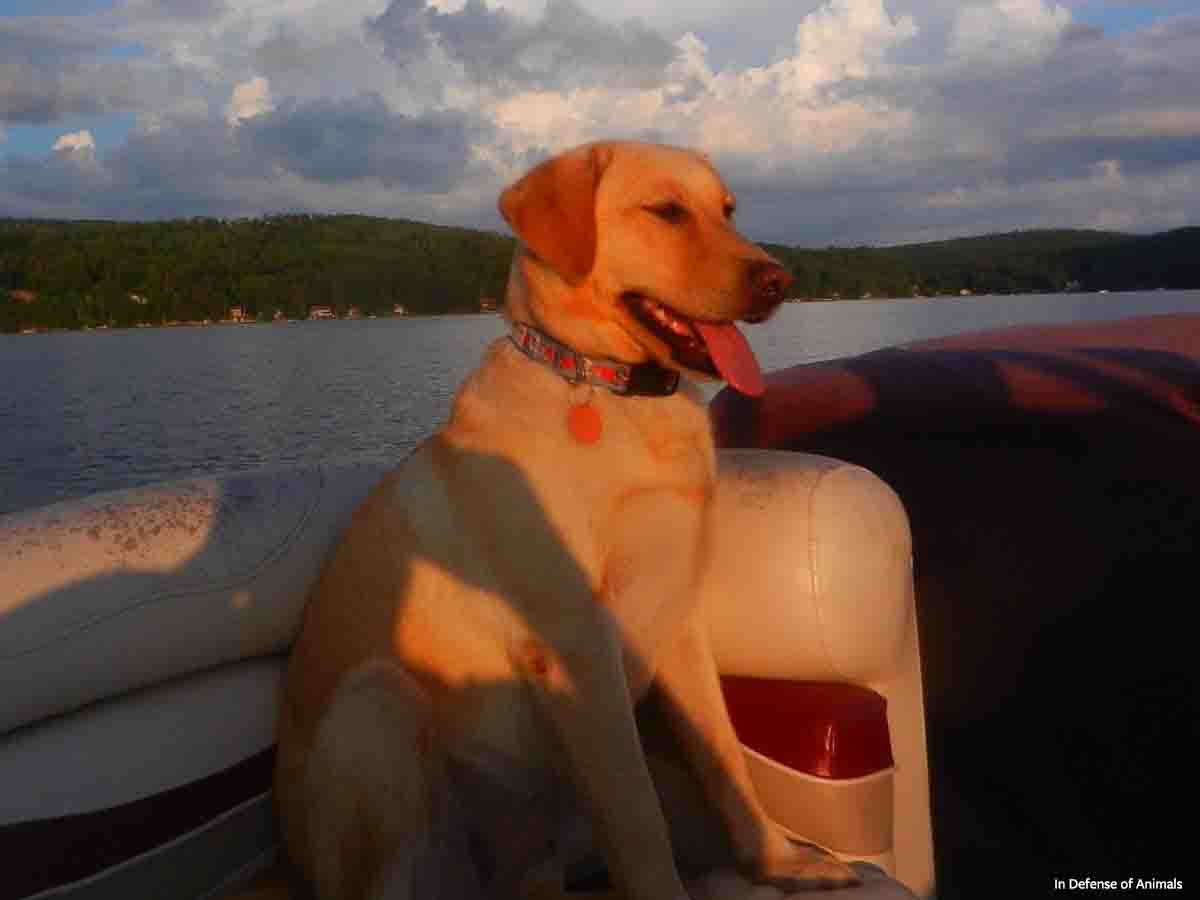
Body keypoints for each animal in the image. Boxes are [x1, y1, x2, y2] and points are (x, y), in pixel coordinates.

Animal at [273, 141, 859, 900]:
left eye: (729, 210)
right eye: (666, 211)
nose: (778, 280)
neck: (610, 392)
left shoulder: (676, 618)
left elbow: (722, 755)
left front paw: (777, 862)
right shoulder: (578, 646)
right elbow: (636, 811)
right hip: (376, 706)